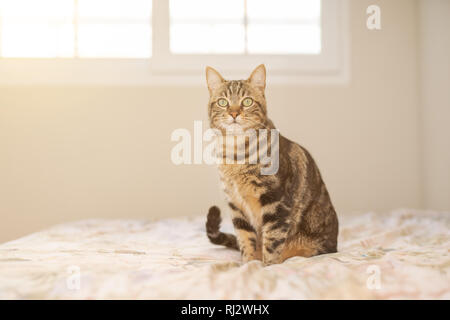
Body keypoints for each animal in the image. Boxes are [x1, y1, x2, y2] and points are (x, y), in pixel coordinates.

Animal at [204, 65, 338, 264]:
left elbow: (272, 241)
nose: (234, 113)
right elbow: (245, 240)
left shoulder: (276, 202)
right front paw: (248, 264)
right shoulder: (236, 206)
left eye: (247, 101)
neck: (236, 155)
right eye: (222, 102)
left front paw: (267, 266)